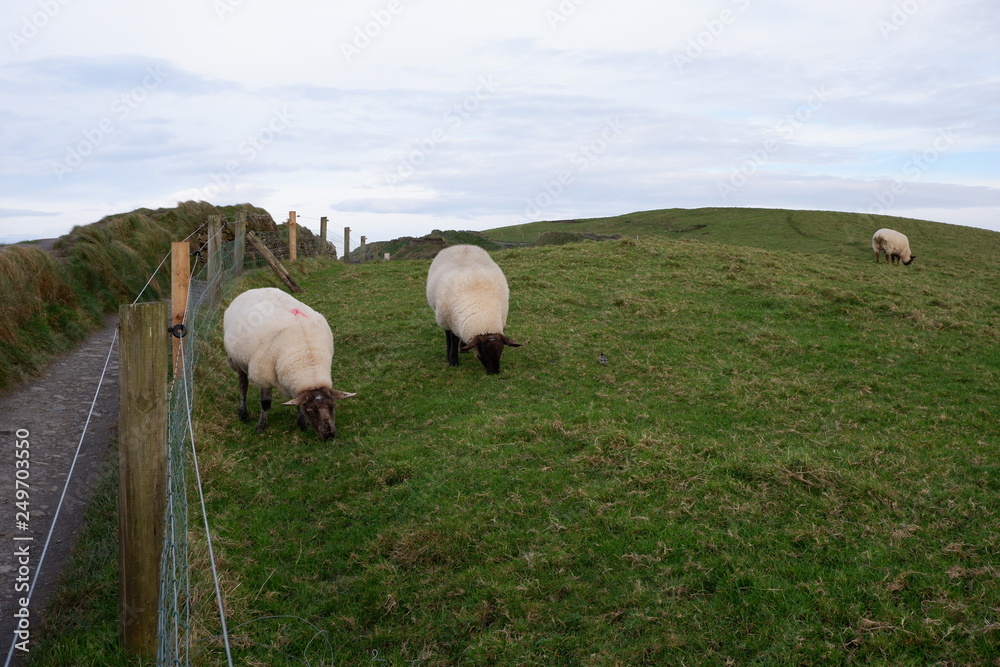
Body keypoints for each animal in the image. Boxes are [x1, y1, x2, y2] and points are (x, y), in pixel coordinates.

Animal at [223, 287, 355, 440]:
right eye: (310, 410)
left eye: (333, 405)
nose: (329, 435)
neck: (308, 362)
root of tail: (254, 289)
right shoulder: (263, 377)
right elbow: (265, 403)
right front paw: (261, 426)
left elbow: (296, 400)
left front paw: (301, 424)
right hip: (236, 361)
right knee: (243, 385)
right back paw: (243, 413)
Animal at [426, 244, 521, 374]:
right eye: (484, 352)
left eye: (501, 350)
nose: (495, 372)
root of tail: (462, 245)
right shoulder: (451, 322)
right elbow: (454, 339)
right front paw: (453, 361)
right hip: (443, 316)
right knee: (447, 334)